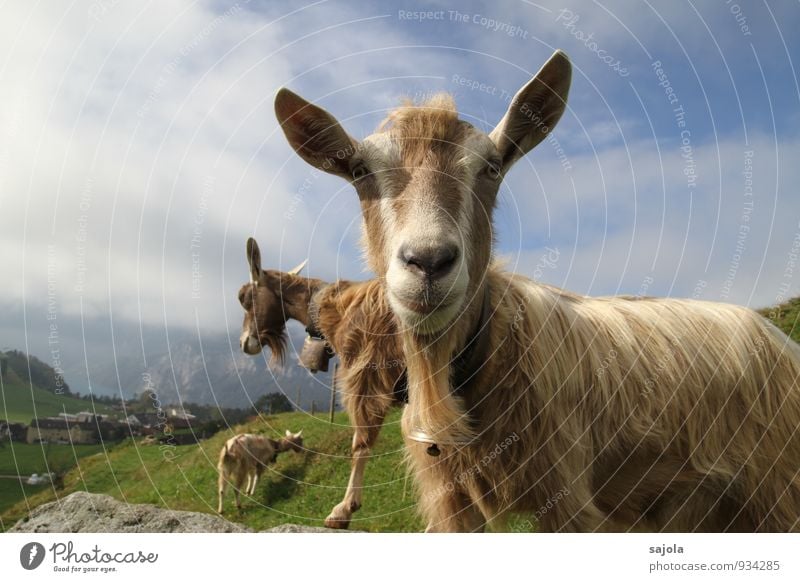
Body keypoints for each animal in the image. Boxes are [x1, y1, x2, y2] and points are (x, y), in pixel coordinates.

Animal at [234, 237, 404, 528]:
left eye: (245, 298)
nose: (246, 343)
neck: (335, 308)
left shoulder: (367, 376)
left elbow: (361, 443)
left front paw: (344, 510)